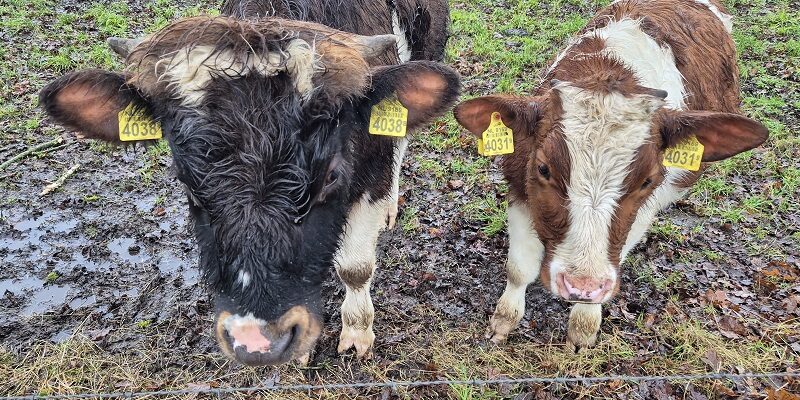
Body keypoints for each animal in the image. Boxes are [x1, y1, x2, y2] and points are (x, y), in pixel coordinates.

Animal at [40, 0, 460, 364]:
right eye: (187, 183)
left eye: (331, 177)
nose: (257, 340)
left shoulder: (372, 166)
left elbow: (355, 266)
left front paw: (356, 335)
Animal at [454, 0, 764, 348]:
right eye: (544, 168)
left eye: (646, 180)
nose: (582, 286)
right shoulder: (520, 185)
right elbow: (519, 267)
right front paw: (504, 321)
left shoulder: (646, 206)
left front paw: (583, 326)